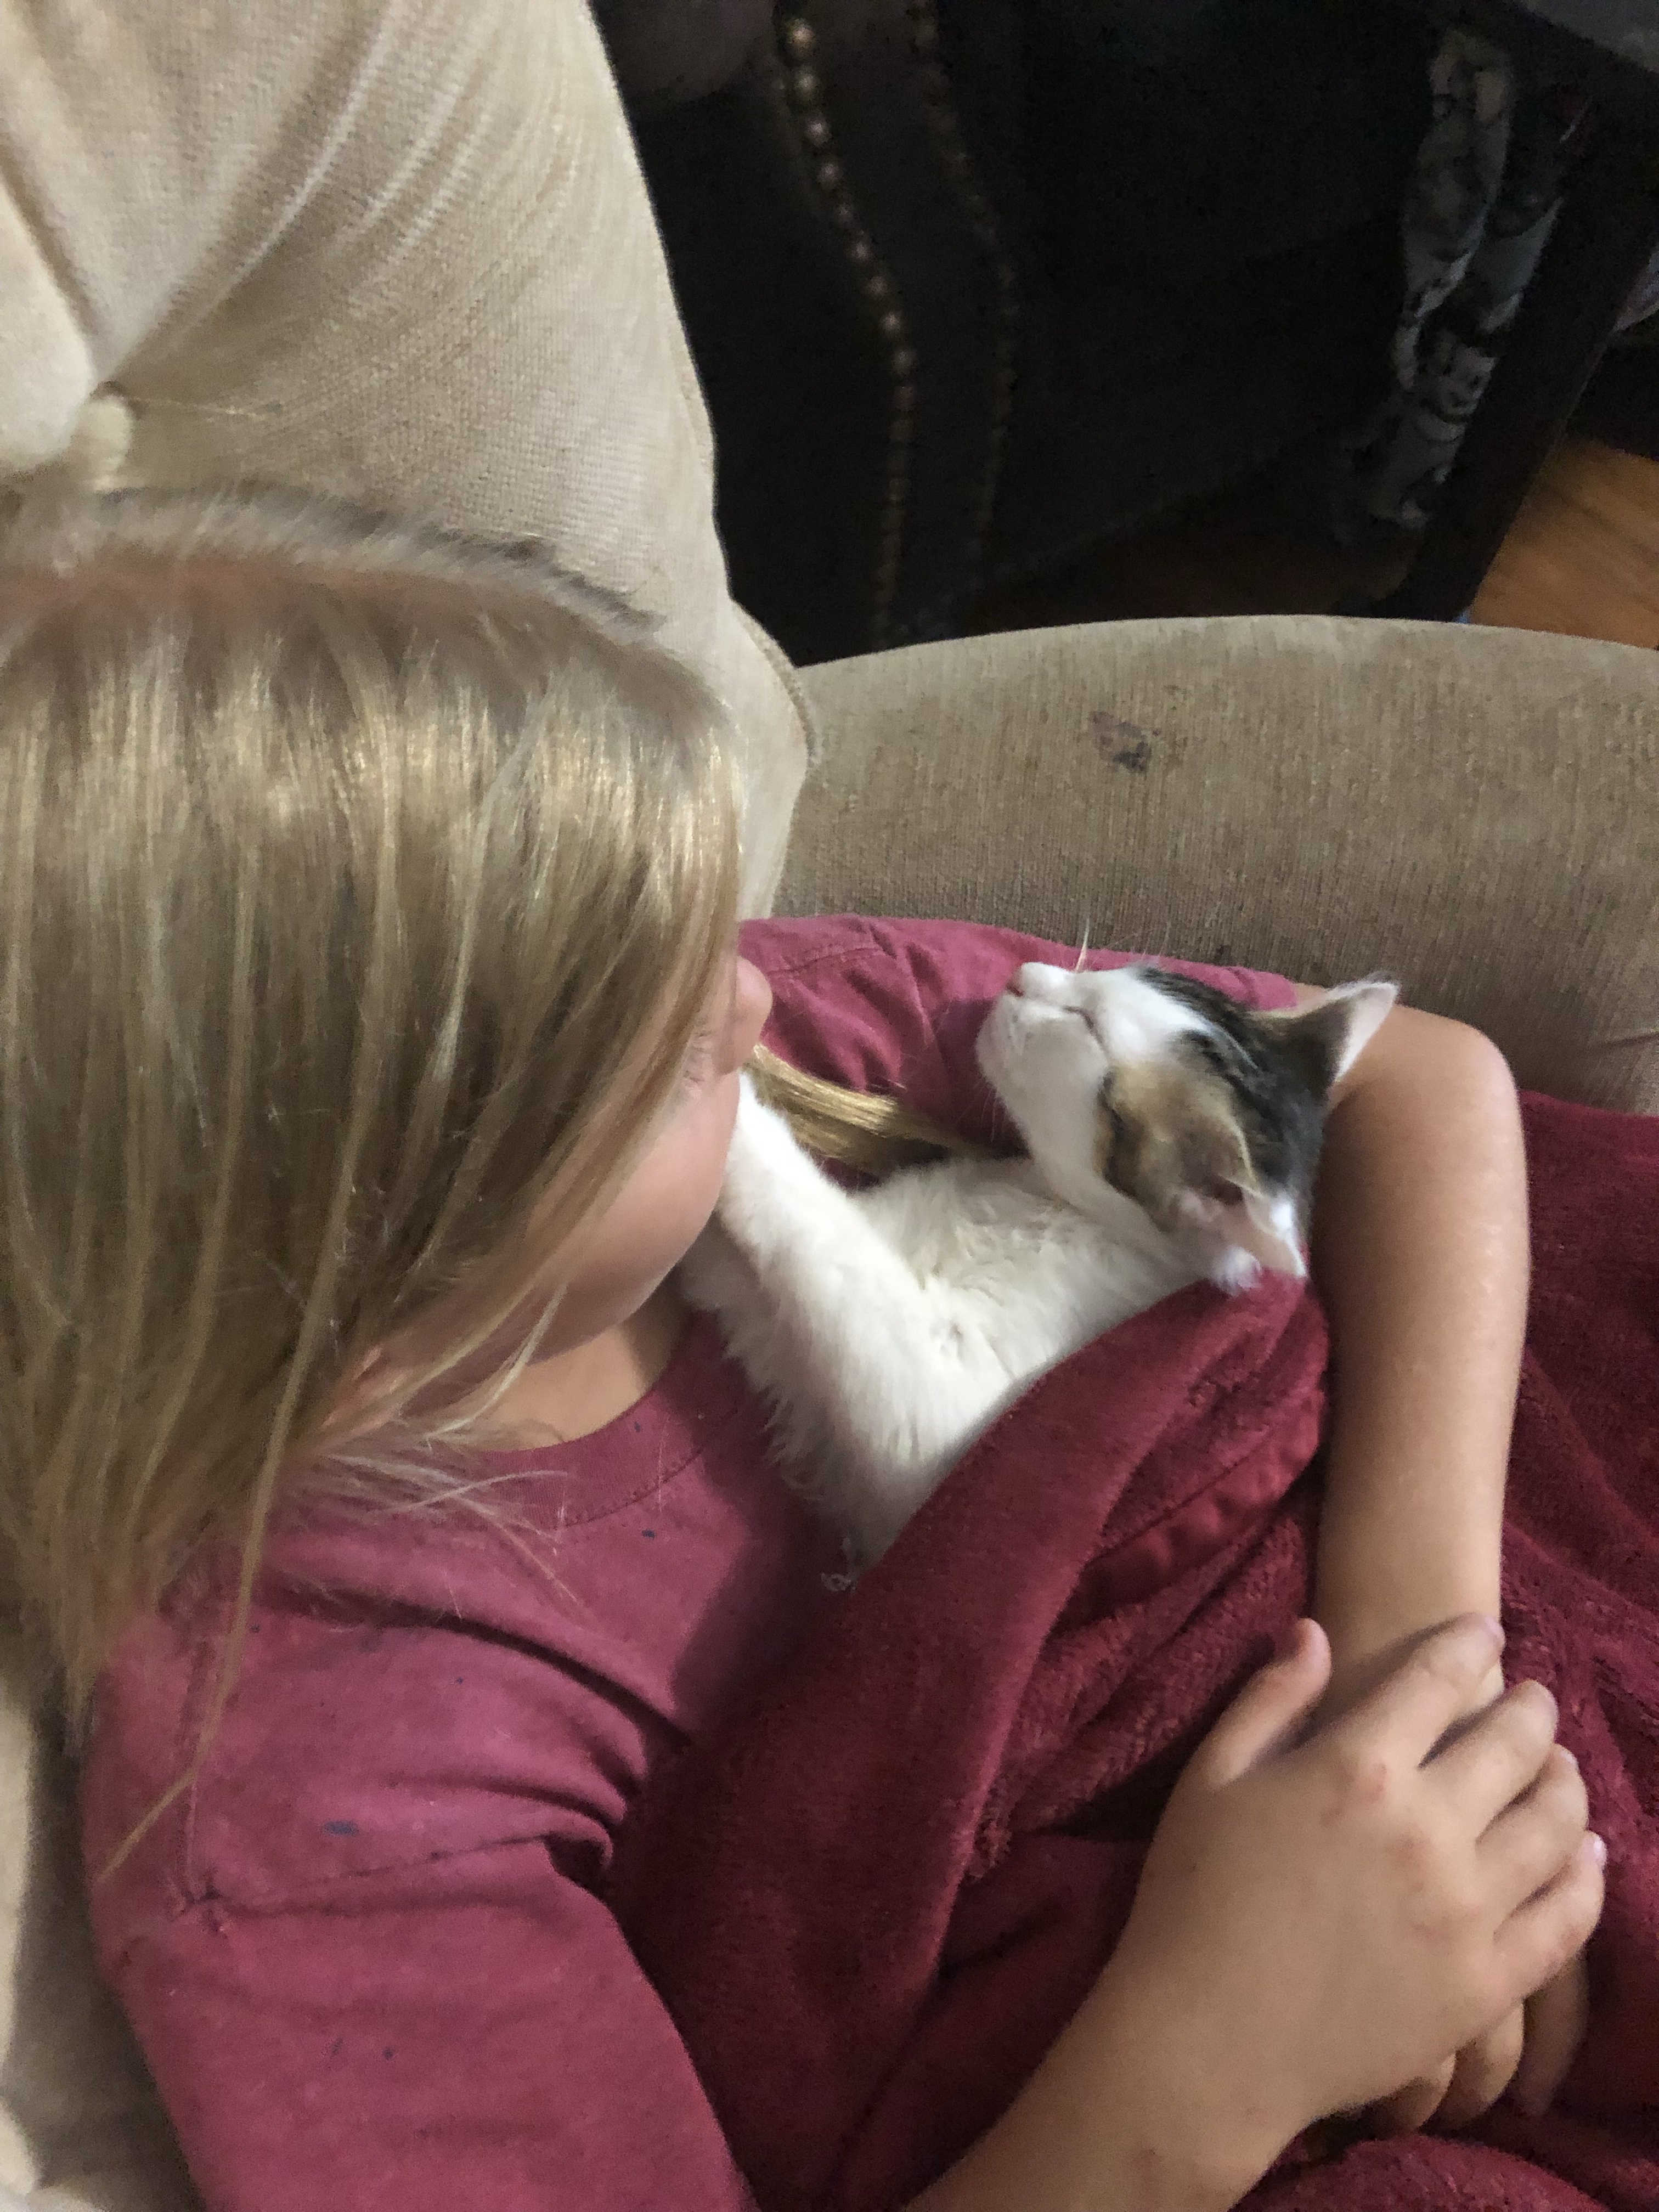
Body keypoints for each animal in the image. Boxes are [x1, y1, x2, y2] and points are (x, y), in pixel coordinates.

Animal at [681, 961, 1395, 1566]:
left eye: (1088, 1027)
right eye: (1123, 969)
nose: (1022, 975)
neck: (1041, 1201)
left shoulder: (935, 1427)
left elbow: (812, 1230)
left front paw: (719, 1091)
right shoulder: (768, 1319)